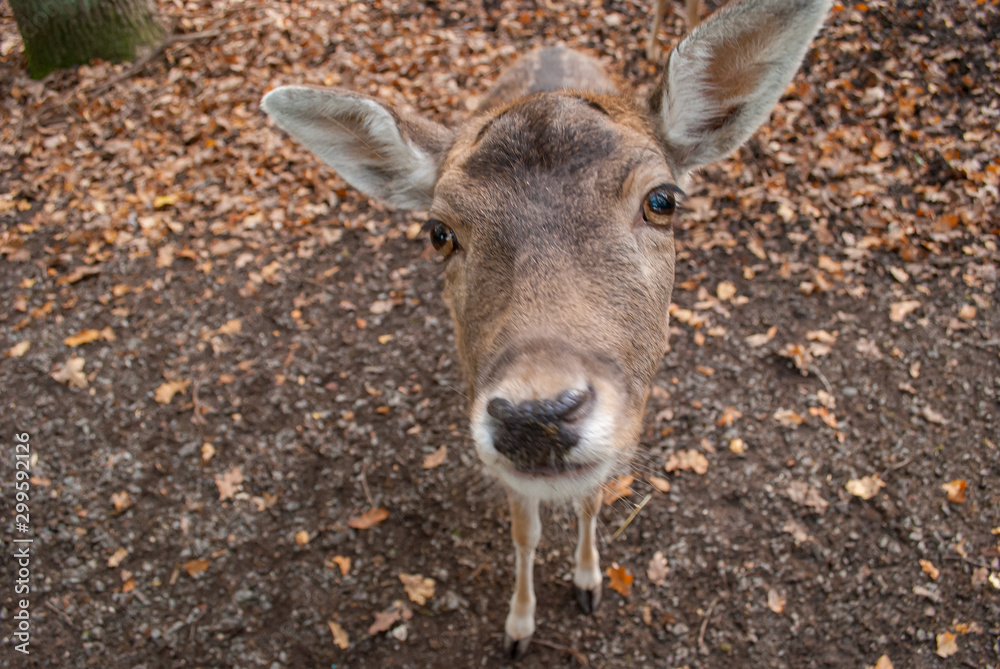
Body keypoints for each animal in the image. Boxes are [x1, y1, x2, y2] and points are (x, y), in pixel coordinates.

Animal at [262, 0, 832, 656]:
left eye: (662, 200)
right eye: (438, 232)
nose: (536, 418)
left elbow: (590, 505)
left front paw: (588, 584)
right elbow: (525, 534)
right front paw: (518, 627)